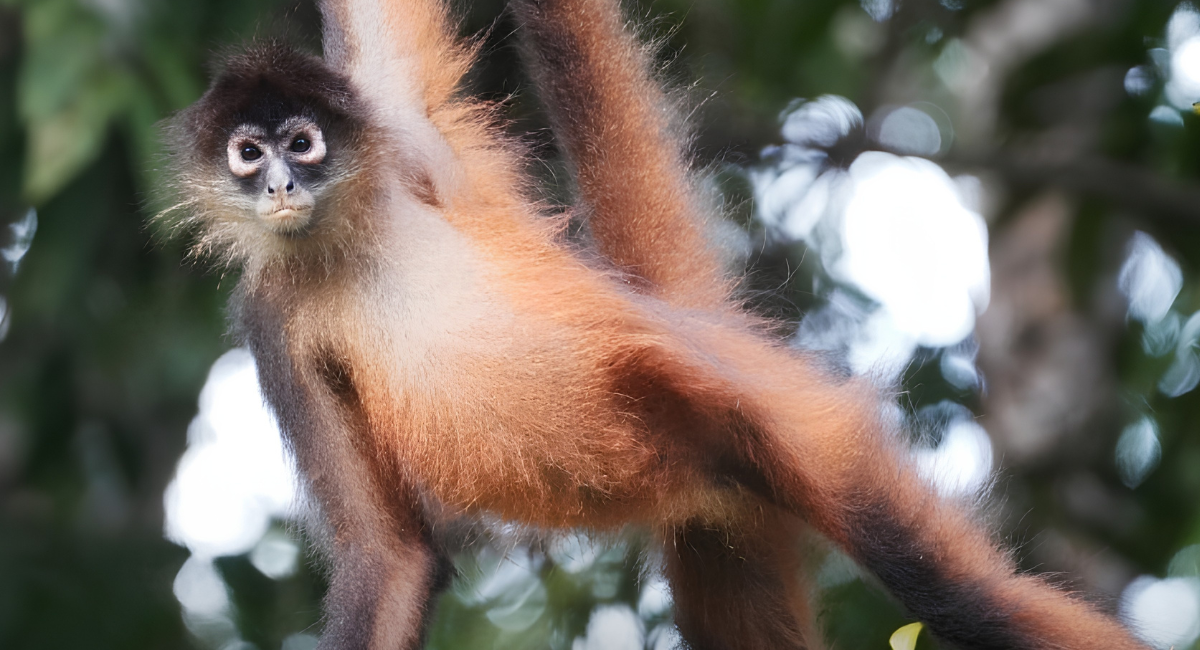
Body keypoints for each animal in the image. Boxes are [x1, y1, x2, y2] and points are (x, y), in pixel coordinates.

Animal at [159, 0, 1151, 648]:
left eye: (302, 142)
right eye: (247, 154)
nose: (280, 183)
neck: (344, 239)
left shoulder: (404, 139)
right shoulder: (269, 319)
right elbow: (391, 555)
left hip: (795, 426)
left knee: (953, 592)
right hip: (727, 521)